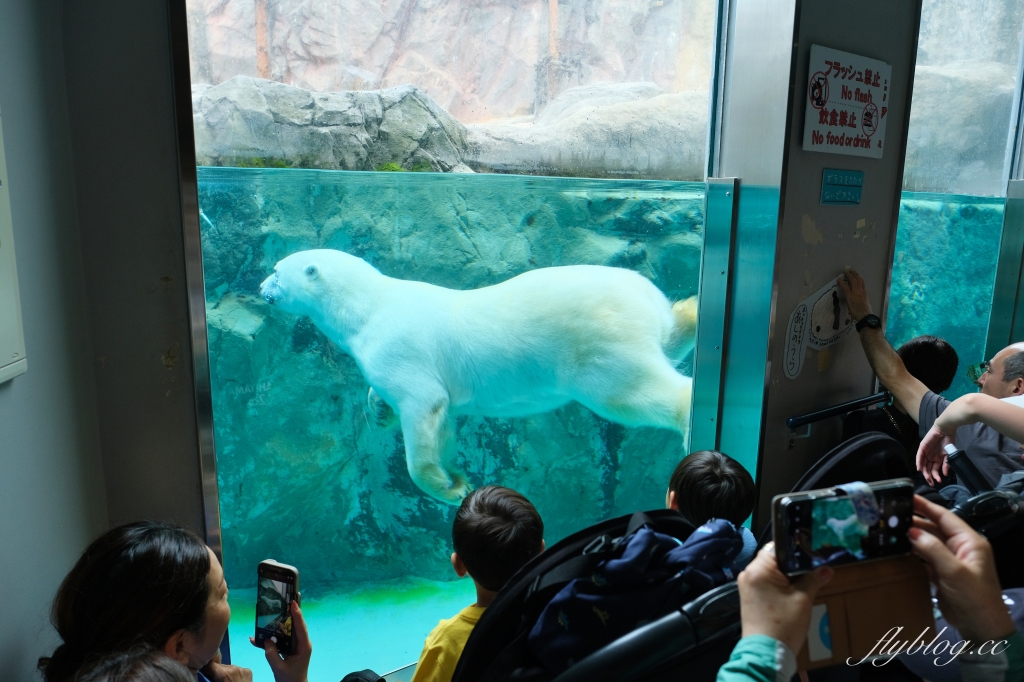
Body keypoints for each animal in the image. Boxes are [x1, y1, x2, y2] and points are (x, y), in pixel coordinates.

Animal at [260, 248, 700, 499]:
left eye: (277, 270)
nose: (261, 286)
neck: (365, 307)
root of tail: (640, 296)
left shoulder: (397, 347)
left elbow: (423, 406)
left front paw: (446, 487)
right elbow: (440, 420)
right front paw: (382, 412)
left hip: (595, 343)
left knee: (629, 391)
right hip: (641, 318)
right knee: (670, 337)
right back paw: (693, 311)